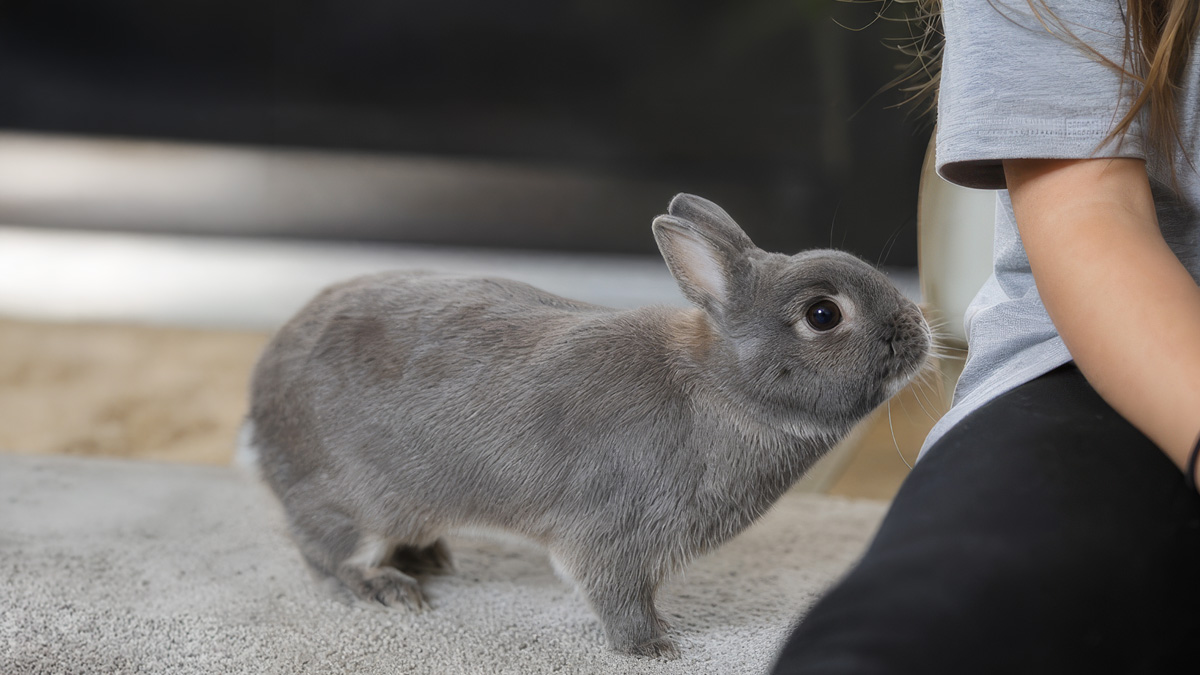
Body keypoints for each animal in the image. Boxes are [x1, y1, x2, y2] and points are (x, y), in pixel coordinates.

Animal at [241, 193, 930, 659]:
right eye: (822, 314)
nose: (920, 329)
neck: (722, 386)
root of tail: (260, 393)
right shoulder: (615, 535)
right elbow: (616, 597)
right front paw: (654, 648)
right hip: (348, 502)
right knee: (327, 558)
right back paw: (390, 587)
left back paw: (429, 556)